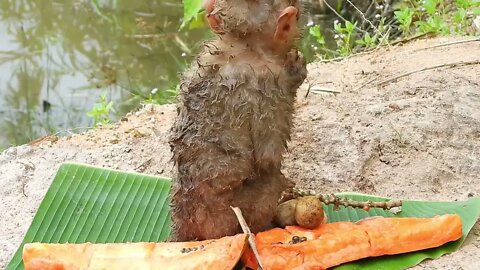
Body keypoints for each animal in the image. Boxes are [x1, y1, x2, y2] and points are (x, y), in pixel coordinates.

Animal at [169, 0, 308, 242]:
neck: (242, 48)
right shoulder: (270, 83)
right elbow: (267, 157)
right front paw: (296, 70)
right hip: (226, 220)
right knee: (270, 180)